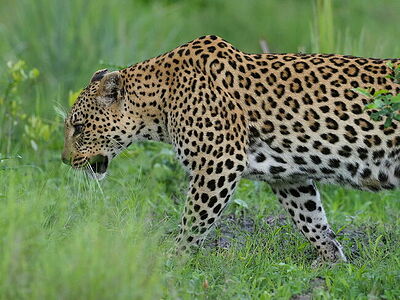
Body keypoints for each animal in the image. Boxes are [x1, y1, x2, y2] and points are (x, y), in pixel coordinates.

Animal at [61, 35, 398, 264]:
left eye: (79, 127)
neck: (159, 100)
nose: (64, 160)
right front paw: (331, 260)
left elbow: (193, 220)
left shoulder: (217, 163)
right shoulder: (288, 178)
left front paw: (172, 260)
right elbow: (310, 218)